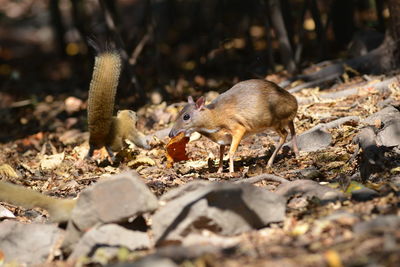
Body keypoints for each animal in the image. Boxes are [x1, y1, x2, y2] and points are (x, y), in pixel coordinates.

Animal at [170, 79, 300, 174]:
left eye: (186, 116)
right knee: (291, 129)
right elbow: (221, 154)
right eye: (179, 113)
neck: (215, 118)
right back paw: (297, 154)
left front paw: (231, 172)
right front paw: (219, 171)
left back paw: (269, 163)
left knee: (285, 134)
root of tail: (295, 103)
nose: (171, 134)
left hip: (274, 121)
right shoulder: (223, 139)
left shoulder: (238, 128)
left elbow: (231, 152)